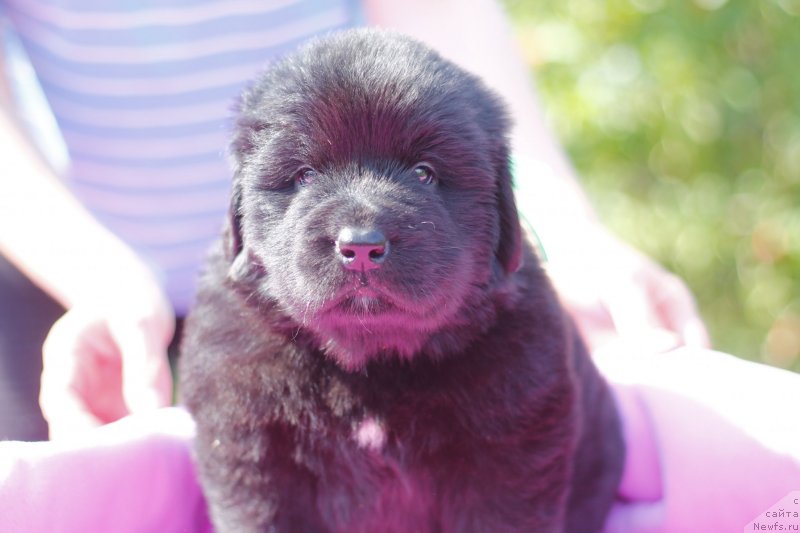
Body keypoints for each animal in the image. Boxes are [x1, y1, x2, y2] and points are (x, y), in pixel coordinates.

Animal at [181, 29, 624, 532]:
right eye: (305, 174)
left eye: (424, 173)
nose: (361, 247)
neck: (372, 362)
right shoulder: (250, 445)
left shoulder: (512, 451)